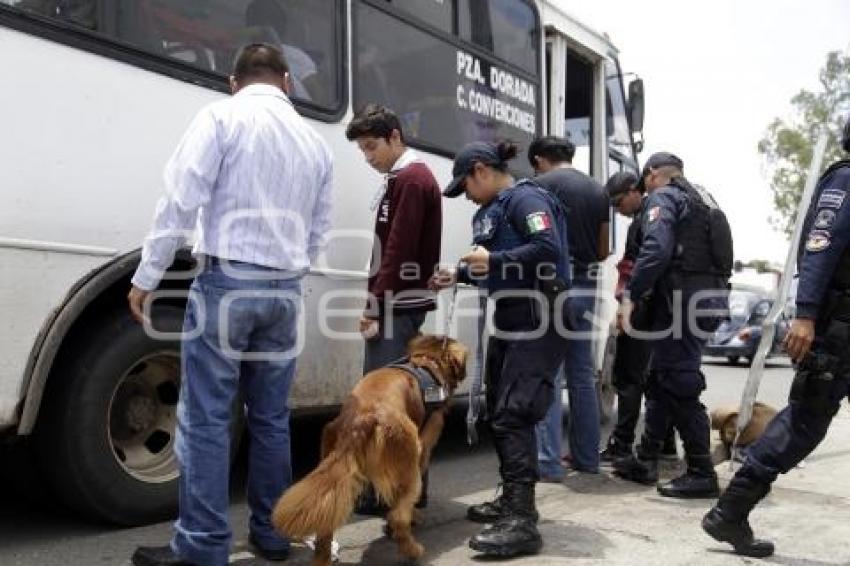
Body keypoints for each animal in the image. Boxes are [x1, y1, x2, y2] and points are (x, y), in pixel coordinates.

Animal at [272, 338, 468, 566]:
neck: (429, 360)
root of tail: (361, 418)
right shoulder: (424, 447)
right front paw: (412, 516)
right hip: (409, 463)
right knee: (398, 516)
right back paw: (412, 549)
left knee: (326, 525)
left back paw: (323, 558)